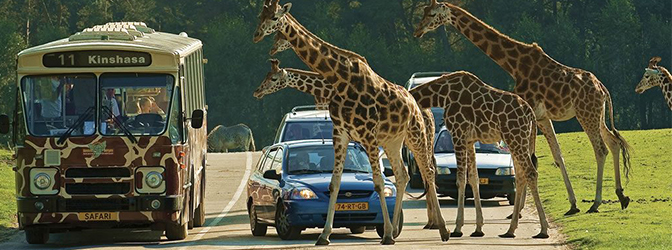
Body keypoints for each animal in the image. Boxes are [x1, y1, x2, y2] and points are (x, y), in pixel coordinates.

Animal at [253, 0, 452, 245]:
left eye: (274, 19)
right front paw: (324, 235)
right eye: (260, 16)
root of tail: (415, 104)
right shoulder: (341, 133)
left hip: (415, 134)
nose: (257, 36)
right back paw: (402, 227)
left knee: (428, 171)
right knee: (402, 175)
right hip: (393, 141)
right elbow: (335, 183)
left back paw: (441, 229)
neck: (339, 79)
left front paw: (386, 233)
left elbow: (378, 182)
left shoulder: (367, 134)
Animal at [412, 0, 632, 215]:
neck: (514, 65)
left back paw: (596, 203)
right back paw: (621, 196)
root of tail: (603, 89)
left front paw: (516, 211)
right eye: (423, 11)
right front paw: (572, 204)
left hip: (585, 113)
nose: (418, 31)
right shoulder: (541, 117)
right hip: (597, 115)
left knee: (601, 149)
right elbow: (557, 156)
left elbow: (528, 160)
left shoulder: (529, 113)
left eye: (432, 14)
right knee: (614, 143)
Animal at [412, 71, 548, 238]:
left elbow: (461, 180)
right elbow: (474, 178)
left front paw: (457, 228)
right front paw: (478, 228)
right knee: (521, 176)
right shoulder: (470, 140)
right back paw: (510, 230)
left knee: (531, 173)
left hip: (515, 137)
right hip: (518, 139)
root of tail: (530, 114)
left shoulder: (458, 134)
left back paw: (543, 230)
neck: (442, 95)